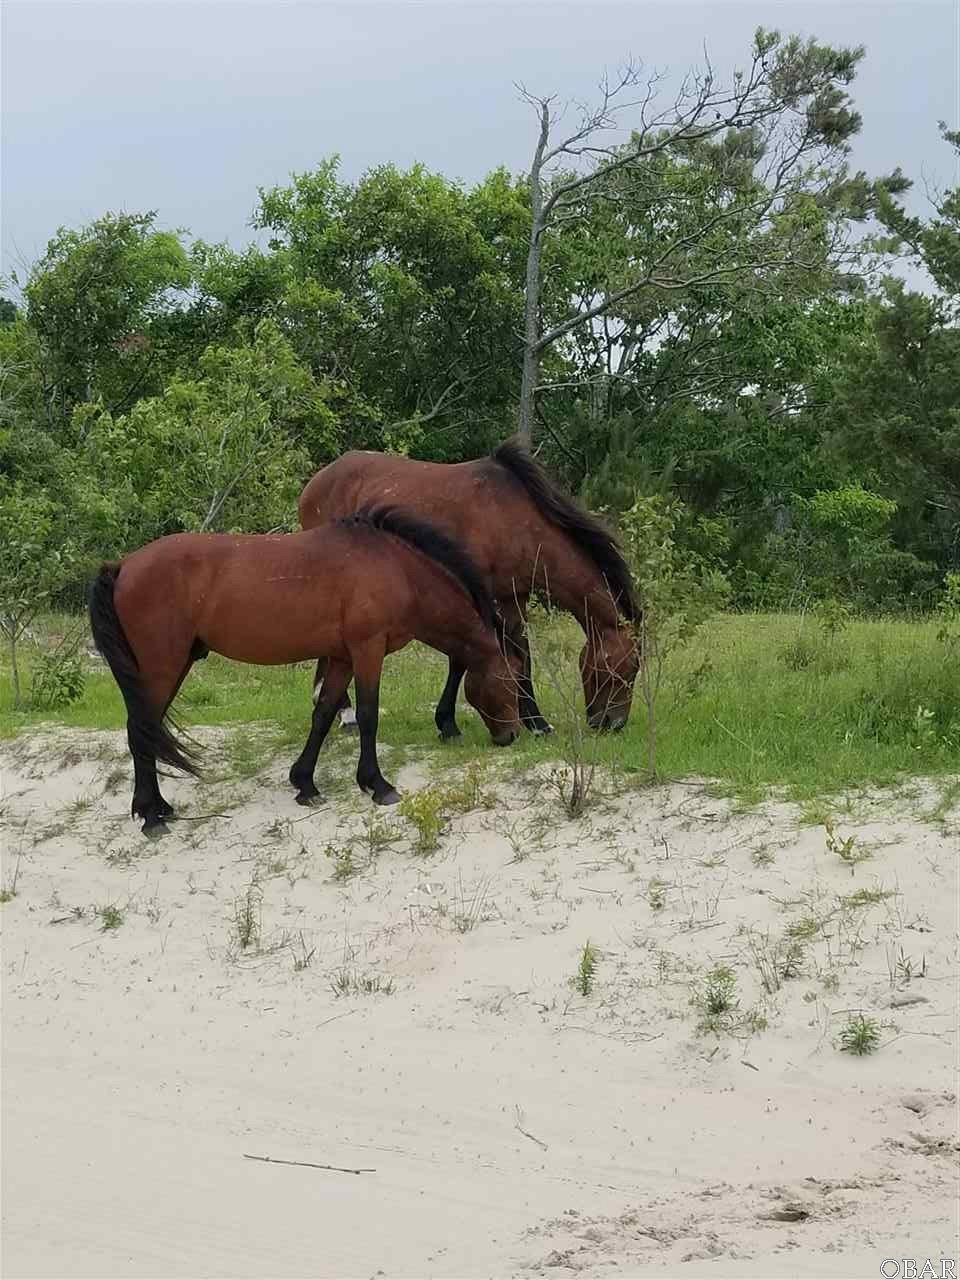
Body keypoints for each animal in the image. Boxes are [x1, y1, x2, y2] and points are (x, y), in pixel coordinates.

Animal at [89, 509, 522, 839]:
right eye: (510, 682)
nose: (512, 736)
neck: (396, 569)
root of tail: (123, 566)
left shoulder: (342, 658)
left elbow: (324, 714)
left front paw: (305, 783)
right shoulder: (368, 651)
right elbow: (367, 715)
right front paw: (377, 785)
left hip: (174, 666)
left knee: (148, 729)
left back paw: (159, 807)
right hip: (161, 666)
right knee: (139, 730)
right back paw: (150, 817)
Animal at [300, 440, 642, 742]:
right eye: (628, 670)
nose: (613, 723)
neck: (516, 520)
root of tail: (317, 480)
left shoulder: (512, 596)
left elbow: (519, 651)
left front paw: (534, 722)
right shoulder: (483, 594)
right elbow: (464, 659)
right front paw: (451, 723)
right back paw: (345, 712)